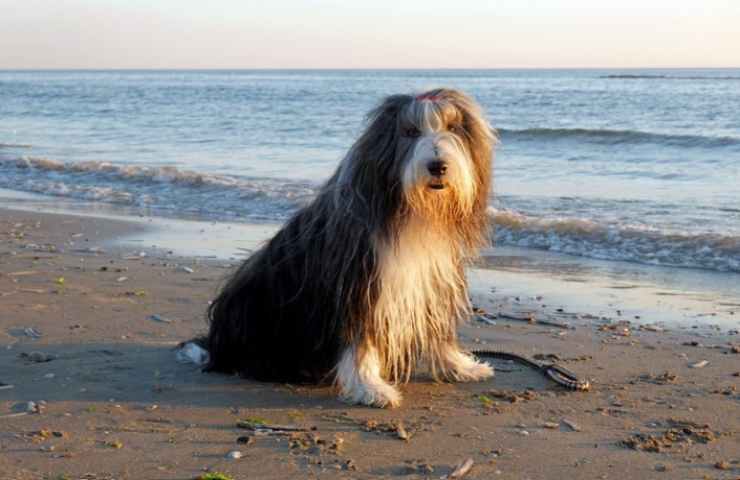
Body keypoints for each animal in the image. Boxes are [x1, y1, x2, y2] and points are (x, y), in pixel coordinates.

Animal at [199, 88, 494, 406]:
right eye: (410, 131)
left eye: (453, 128)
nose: (437, 166)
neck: (410, 212)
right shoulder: (360, 284)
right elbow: (360, 341)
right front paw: (370, 387)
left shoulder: (432, 278)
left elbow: (438, 328)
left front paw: (460, 366)